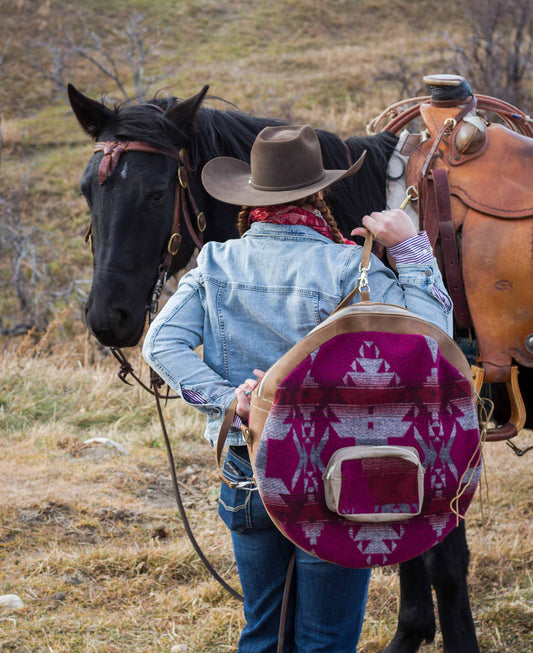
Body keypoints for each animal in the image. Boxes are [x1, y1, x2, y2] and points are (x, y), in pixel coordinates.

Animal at [66, 83, 478, 652]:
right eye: (88, 190)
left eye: (155, 194)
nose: (108, 318)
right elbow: (410, 546)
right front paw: (410, 632)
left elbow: (445, 562)